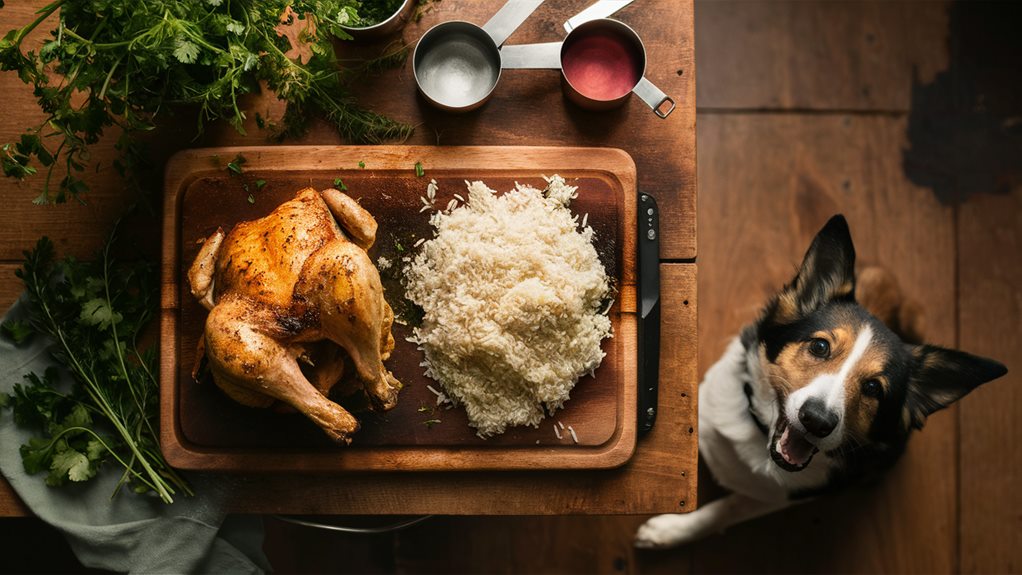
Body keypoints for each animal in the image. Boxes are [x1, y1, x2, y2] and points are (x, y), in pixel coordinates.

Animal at [633, 214, 1009, 547]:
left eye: (874, 388)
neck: (758, 438)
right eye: (819, 346)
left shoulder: (787, 494)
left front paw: (668, 530)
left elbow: (726, 509)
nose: (817, 420)